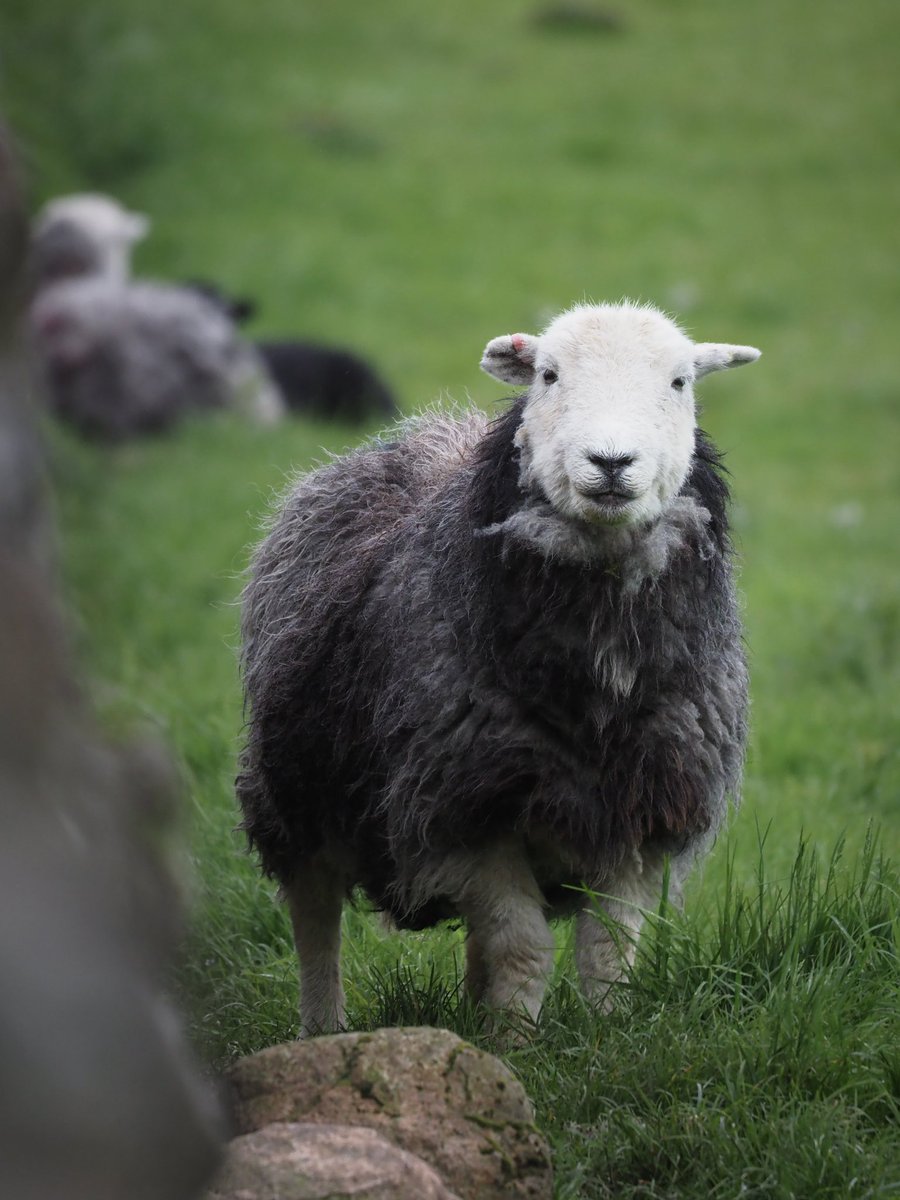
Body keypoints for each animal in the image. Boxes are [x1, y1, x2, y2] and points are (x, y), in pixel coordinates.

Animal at [237, 297, 763, 1032]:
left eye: (680, 382)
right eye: (548, 374)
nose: (610, 461)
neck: (594, 696)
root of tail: (426, 431)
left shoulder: (643, 807)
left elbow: (607, 953)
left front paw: (603, 1037)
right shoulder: (466, 809)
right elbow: (524, 947)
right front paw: (516, 1040)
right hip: (293, 787)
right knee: (316, 921)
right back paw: (325, 1027)